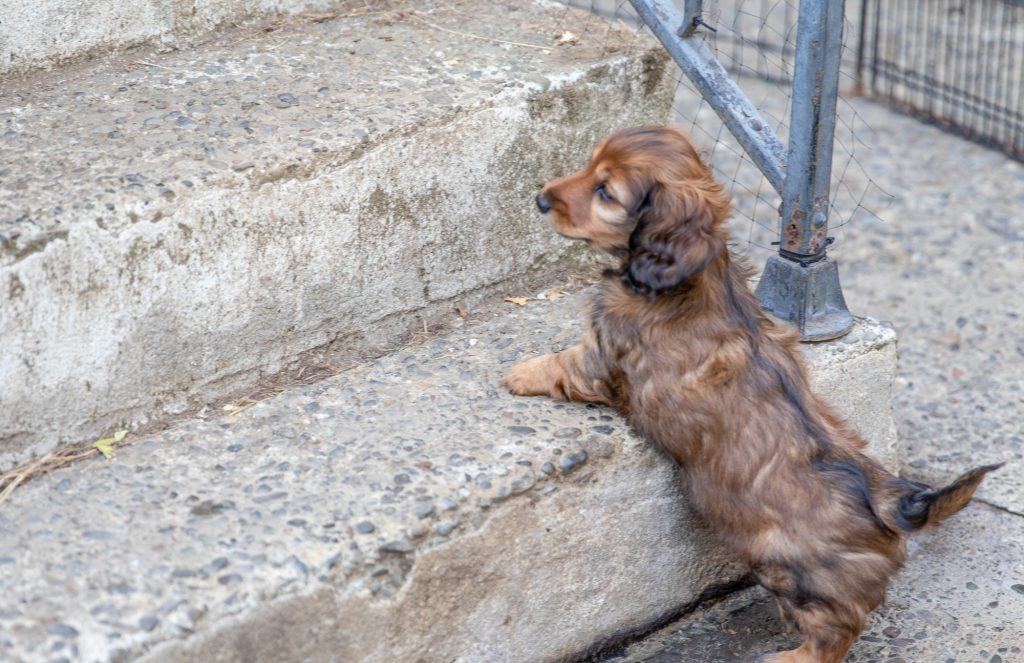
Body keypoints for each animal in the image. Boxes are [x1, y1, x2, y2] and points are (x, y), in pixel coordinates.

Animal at [503, 126, 999, 663]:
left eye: (605, 191)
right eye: (589, 165)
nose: (540, 199)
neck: (695, 274)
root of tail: (891, 502)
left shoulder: (600, 356)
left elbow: (561, 363)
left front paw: (517, 373)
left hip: (788, 568)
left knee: (838, 629)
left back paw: (791, 656)